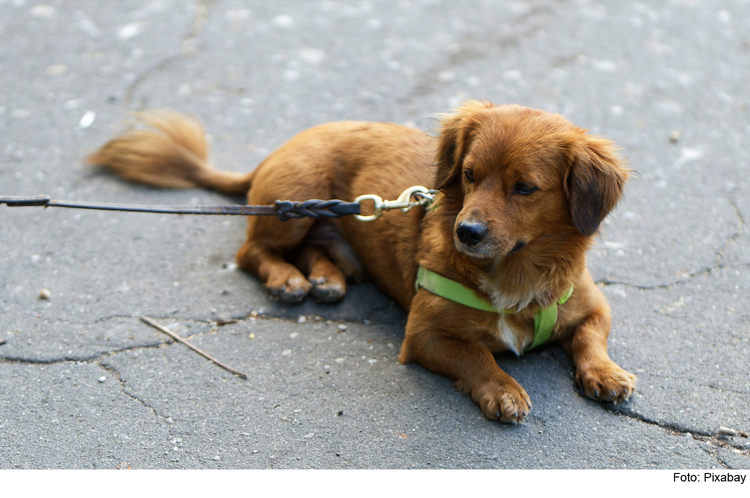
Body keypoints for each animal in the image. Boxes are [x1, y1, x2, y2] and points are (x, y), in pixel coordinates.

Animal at [91, 102, 636, 424]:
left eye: (524, 187)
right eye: (469, 174)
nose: (465, 232)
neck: (516, 270)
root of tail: (284, 145)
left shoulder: (593, 306)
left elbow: (589, 337)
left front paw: (605, 374)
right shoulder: (424, 335)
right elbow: (477, 356)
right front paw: (502, 389)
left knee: (316, 249)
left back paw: (324, 279)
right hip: (298, 201)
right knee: (251, 251)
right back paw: (287, 279)